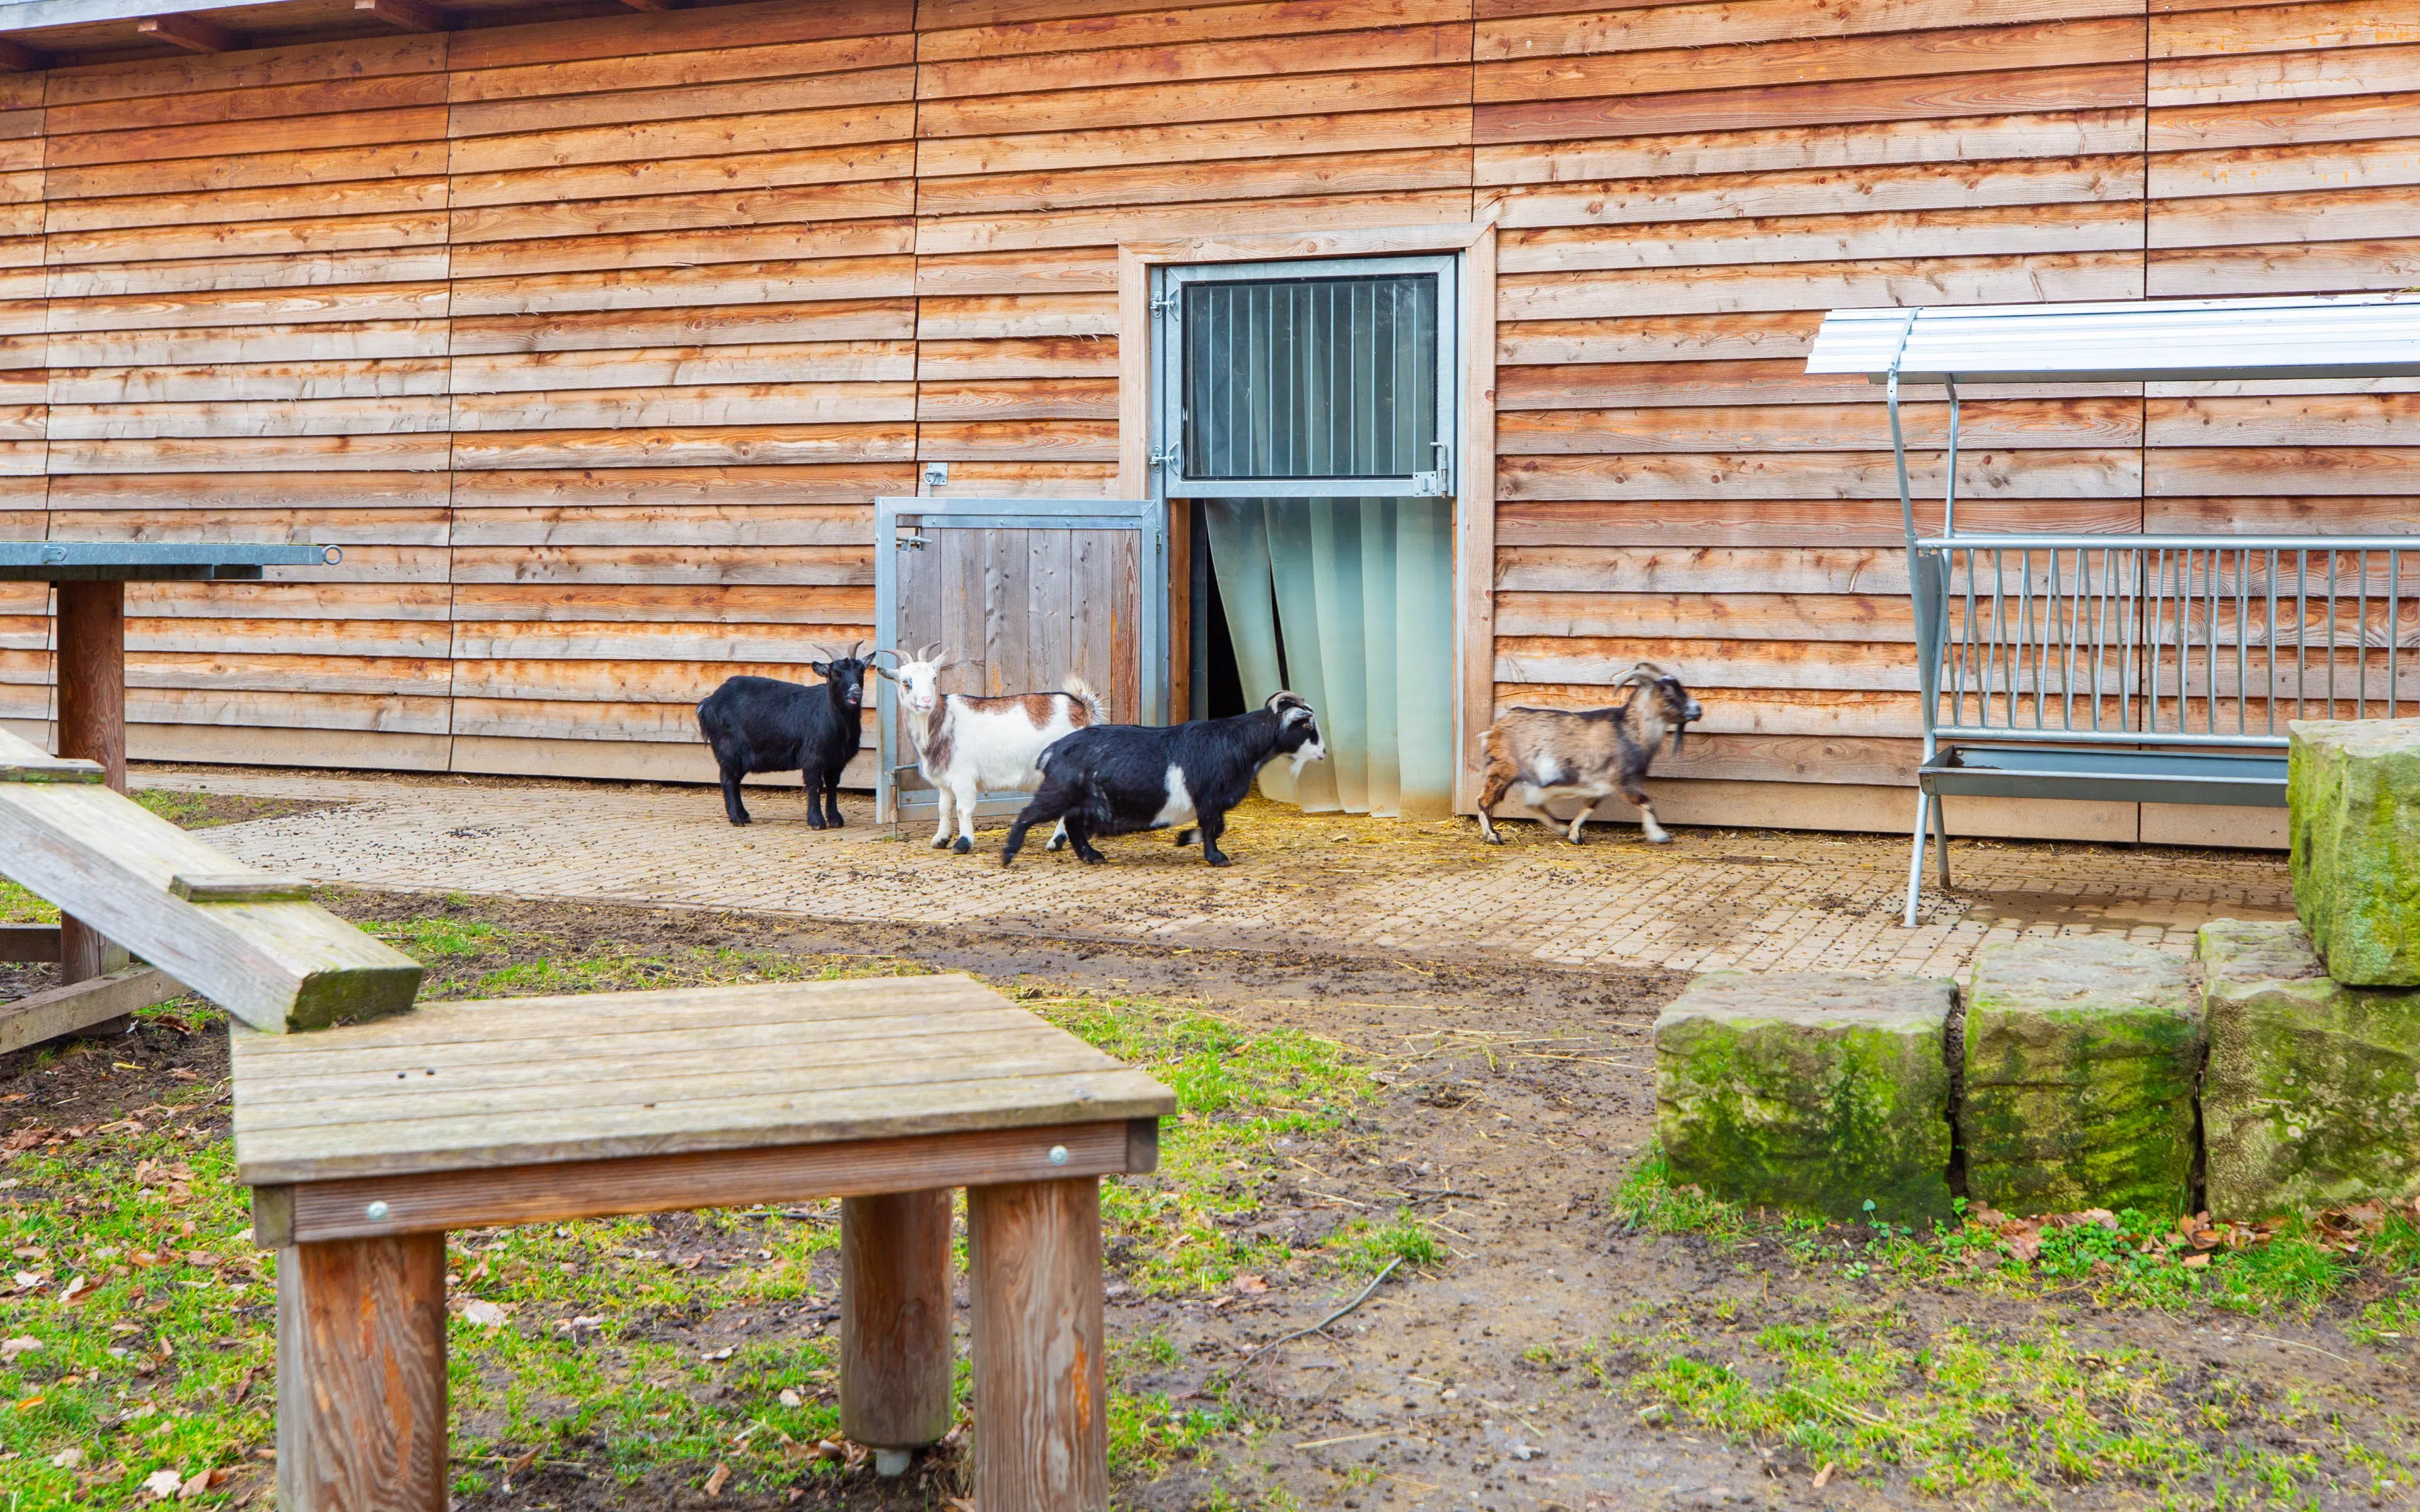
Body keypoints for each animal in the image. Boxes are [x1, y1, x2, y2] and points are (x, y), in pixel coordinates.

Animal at [696, 638, 876, 827]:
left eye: (861, 671)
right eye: (835, 674)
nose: (856, 692)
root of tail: (707, 703)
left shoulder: (837, 761)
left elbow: (833, 785)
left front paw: (835, 819)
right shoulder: (812, 758)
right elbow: (815, 785)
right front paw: (817, 821)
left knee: (735, 780)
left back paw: (744, 816)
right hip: (727, 748)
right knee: (728, 780)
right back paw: (737, 819)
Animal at [880, 638, 1108, 851]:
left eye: (934, 679)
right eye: (906, 682)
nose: (927, 701)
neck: (943, 721)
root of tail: (1082, 710)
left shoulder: (964, 777)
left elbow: (962, 809)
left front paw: (963, 843)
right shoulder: (945, 782)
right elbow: (944, 808)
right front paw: (941, 839)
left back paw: (1056, 841)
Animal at [992, 692, 1326, 866]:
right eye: (1308, 726)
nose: (1323, 751)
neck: (1237, 742)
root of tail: (1055, 749)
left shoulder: (1212, 801)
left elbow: (1217, 827)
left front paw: (1184, 838)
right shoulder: (1208, 798)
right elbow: (1213, 828)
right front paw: (1215, 857)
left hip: (1081, 801)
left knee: (1073, 826)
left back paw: (1093, 856)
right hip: (1059, 792)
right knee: (1028, 814)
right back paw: (1008, 855)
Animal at [1471, 658, 1703, 842]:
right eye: (1668, 694)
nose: (1698, 710)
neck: (1628, 730)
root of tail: (1494, 728)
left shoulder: (1599, 784)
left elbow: (1589, 806)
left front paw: (1574, 834)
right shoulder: (1621, 781)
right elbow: (1645, 802)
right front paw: (1659, 835)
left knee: (1531, 804)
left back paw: (1560, 828)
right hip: (1503, 769)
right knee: (1484, 801)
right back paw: (1493, 836)